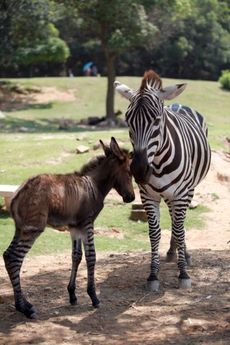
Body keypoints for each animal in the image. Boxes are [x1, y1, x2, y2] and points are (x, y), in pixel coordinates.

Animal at [3, 137, 135, 318]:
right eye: (129, 172)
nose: (131, 198)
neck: (94, 185)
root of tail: (19, 192)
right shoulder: (87, 223)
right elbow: (91, 257)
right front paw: (94, 297)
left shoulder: (75, 227)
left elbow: (76, 256)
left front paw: (72, 295)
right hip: (33, 229)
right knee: (14, 258)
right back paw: (24, 308)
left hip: (21, 228)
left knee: (8, 256)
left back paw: (23, 304)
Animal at [114, 70, 211, 290]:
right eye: (127, 121)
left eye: (157, 120)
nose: (139, 170)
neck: (157, 163)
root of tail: (177, 104)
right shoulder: (148, 196)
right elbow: (154, 233)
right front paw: (153, 275)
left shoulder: (181, 194)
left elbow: (179, 228)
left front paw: (183, 274)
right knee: (175, 219)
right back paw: (172, 251)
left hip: (188, 190)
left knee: (179, 222)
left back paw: (184, 255)